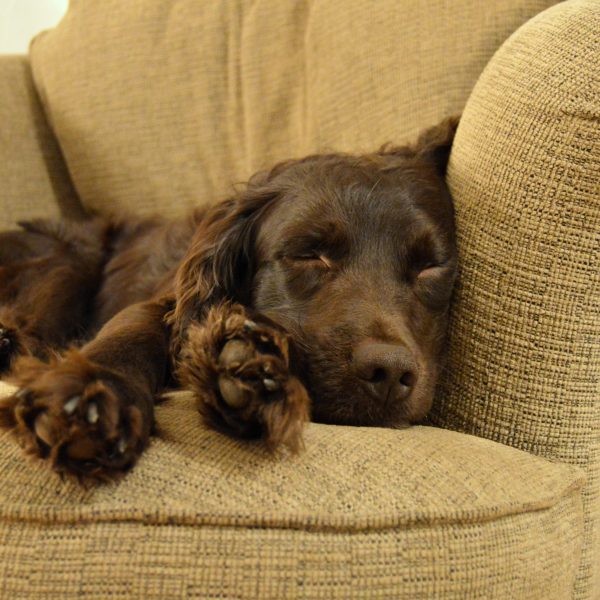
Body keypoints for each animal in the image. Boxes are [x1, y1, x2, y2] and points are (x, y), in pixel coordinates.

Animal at [0, 117, 460, 480]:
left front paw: (246, 369)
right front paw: (95, 393)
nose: (389, 372)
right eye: (308, 254)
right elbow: (133, 330)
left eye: (431, 267)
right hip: (67, 258)